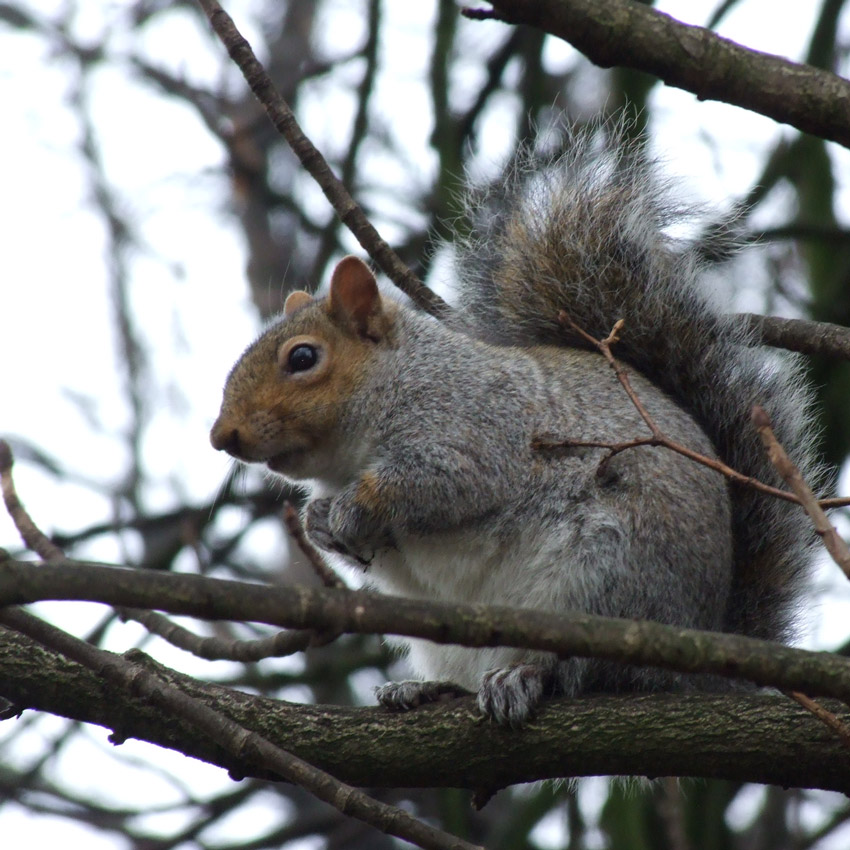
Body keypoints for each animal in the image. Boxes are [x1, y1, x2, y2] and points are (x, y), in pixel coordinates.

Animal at [209, 124, 820, 724]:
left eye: (303, 358)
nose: (222, 437)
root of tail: (698, 662)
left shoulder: (472, 426)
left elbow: (438, 484)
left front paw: (351, 509)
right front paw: (317, 520)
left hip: (603, 585)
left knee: (588, 673)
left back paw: (525, 675)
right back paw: (423, 689)